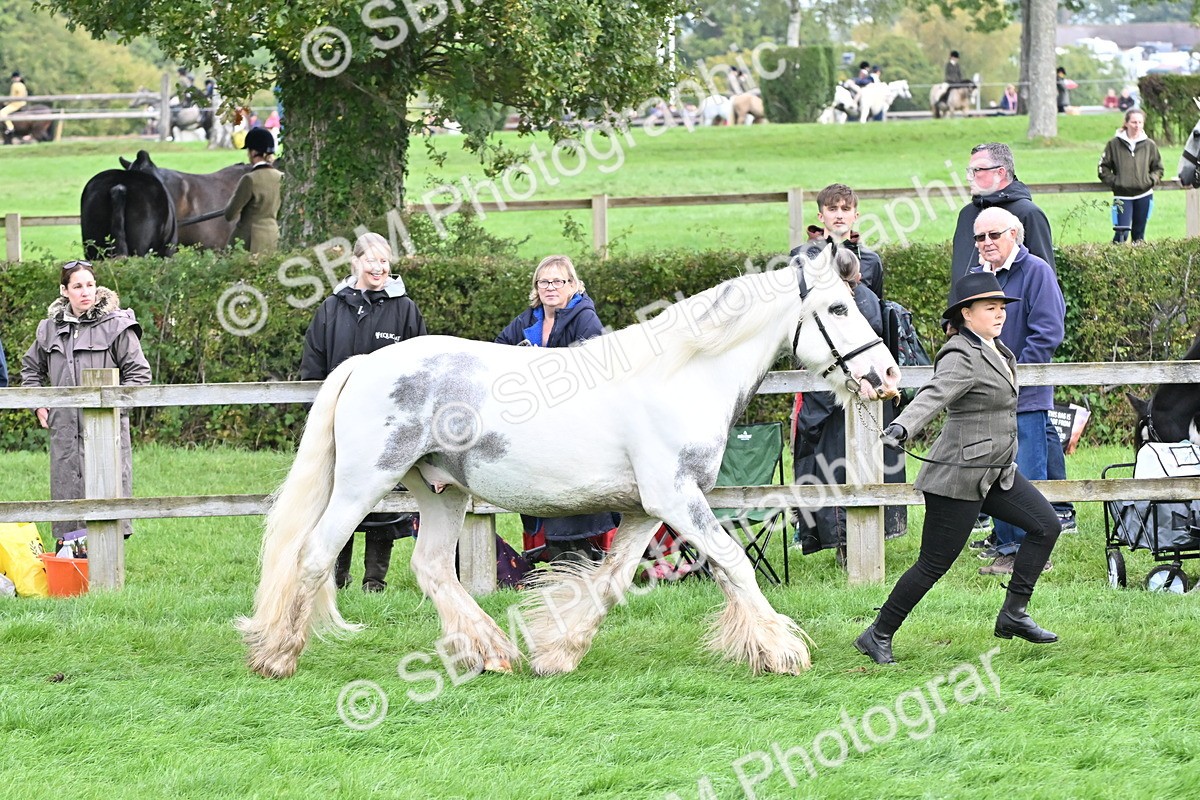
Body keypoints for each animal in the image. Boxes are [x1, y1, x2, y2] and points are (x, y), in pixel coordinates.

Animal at [236, 239, 902, 680]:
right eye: (838, 309)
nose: (887, 376)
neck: (681, 376)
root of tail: (364, 363)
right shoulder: (677, 498)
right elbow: (735, 564)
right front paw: (783, 651)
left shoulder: (644, 511)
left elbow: (609, 582)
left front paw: (557, 653)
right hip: (363, 484)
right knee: (316, 555)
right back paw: (277, 656)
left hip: (442, 491)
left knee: (432, 568)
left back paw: (493, 652)